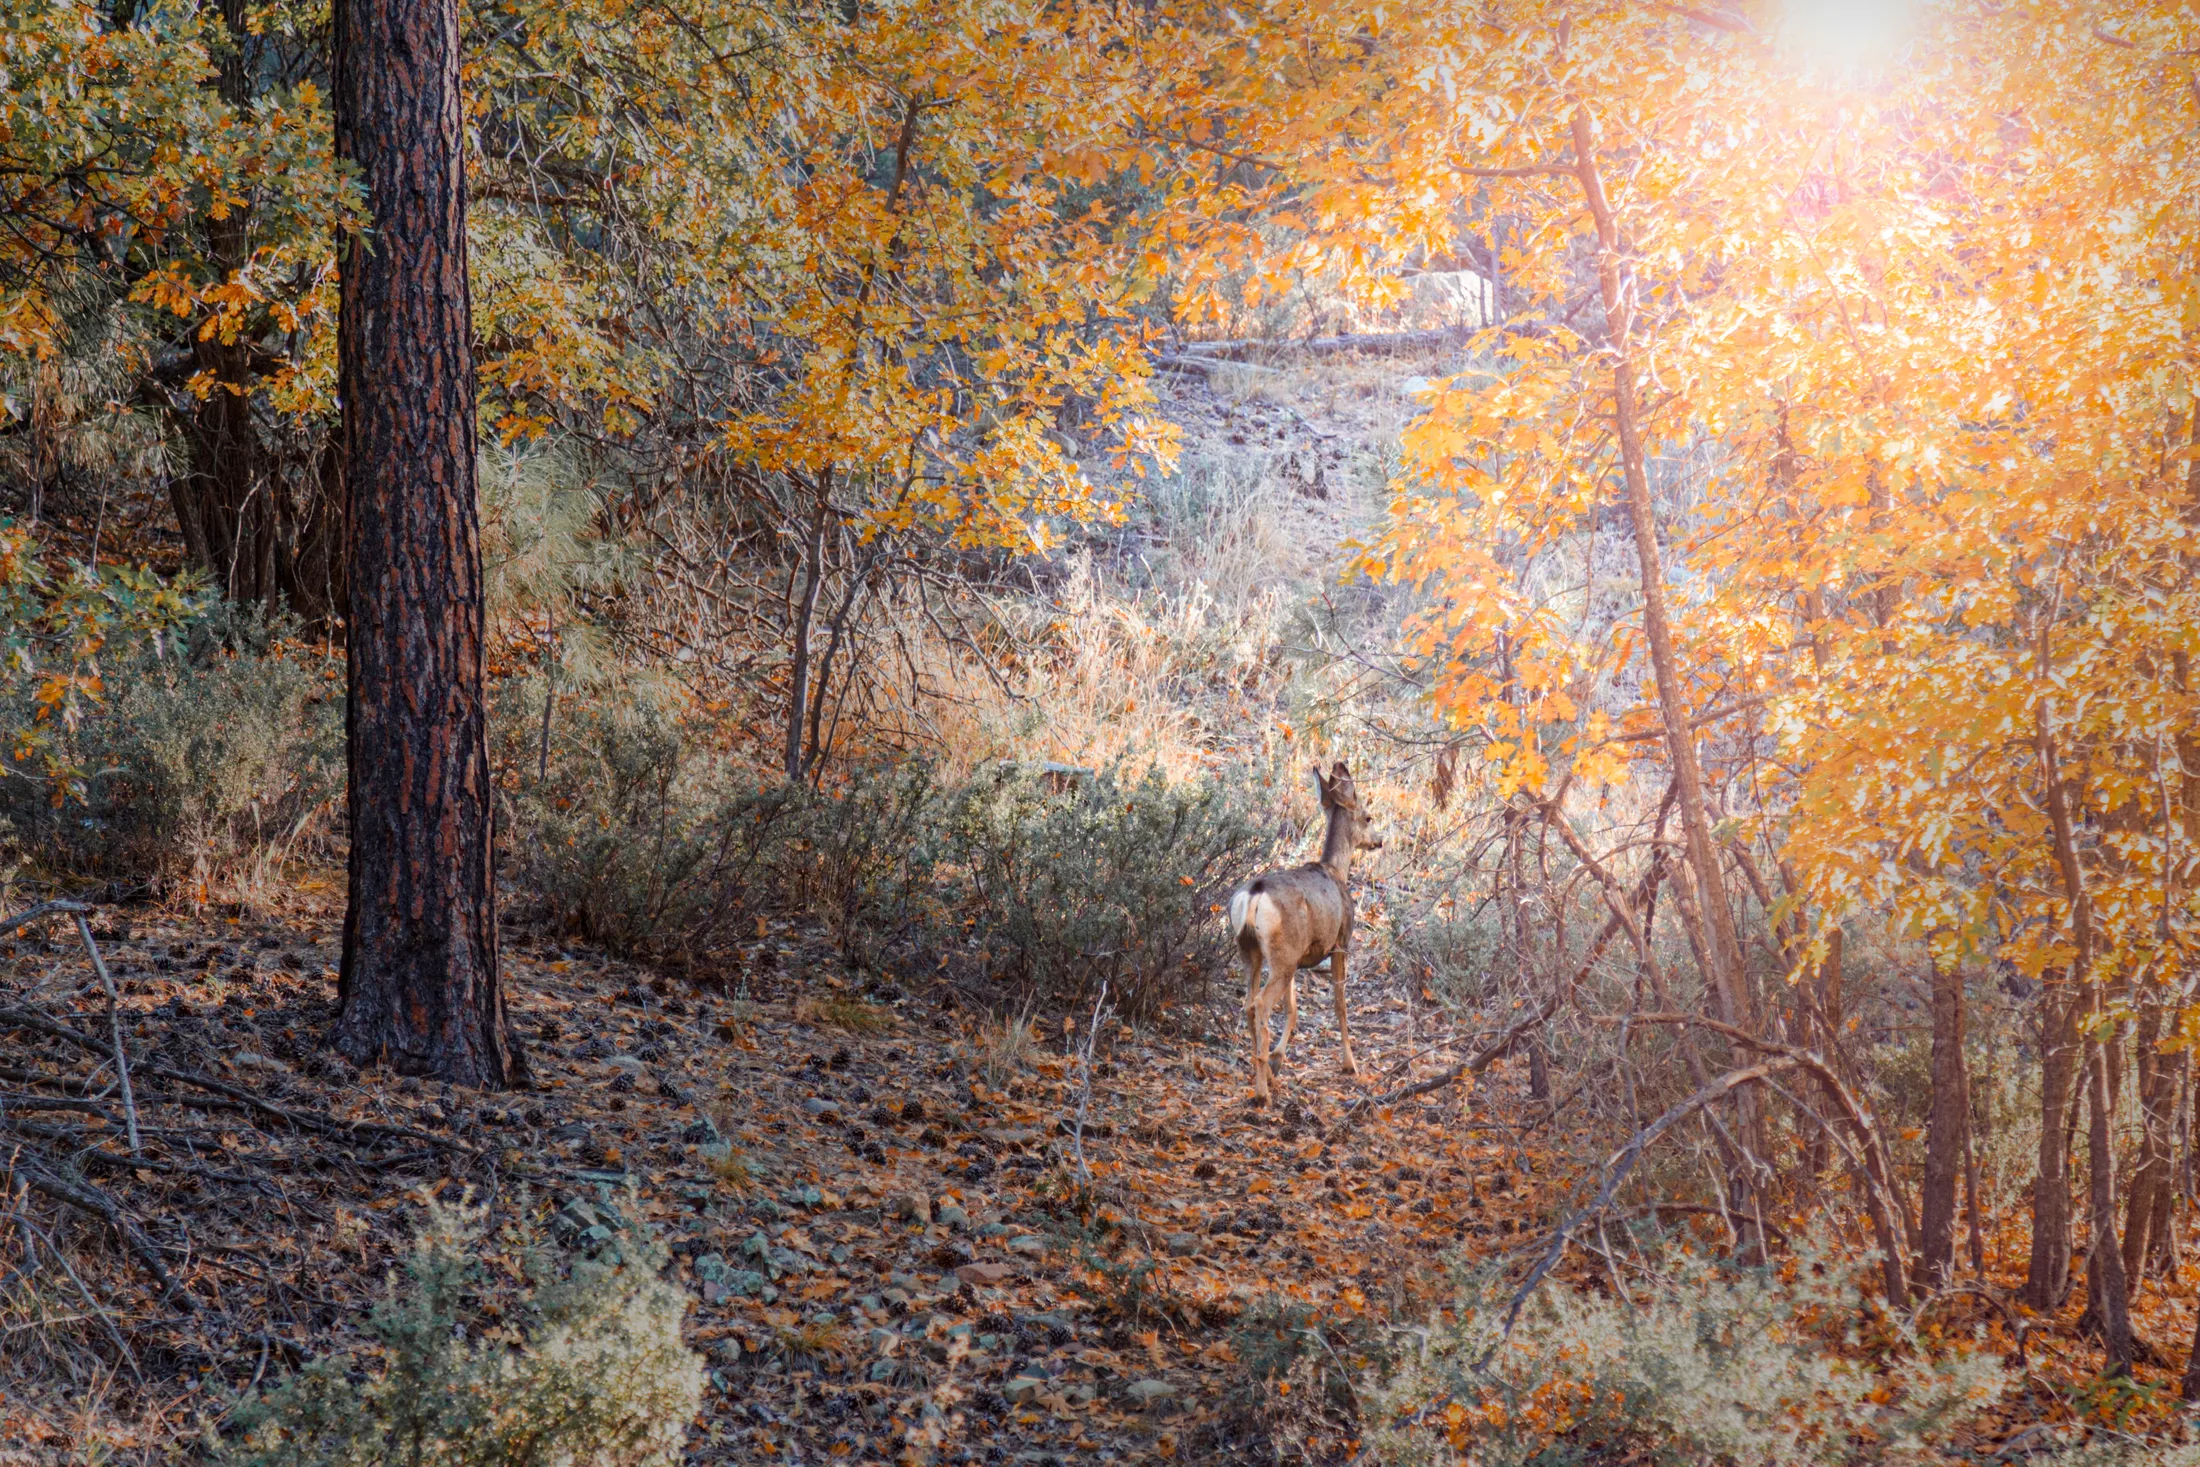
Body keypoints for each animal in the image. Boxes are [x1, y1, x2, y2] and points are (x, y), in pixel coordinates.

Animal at [1227, 761, 1382, 1104]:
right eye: (1368, 816)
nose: (1379, 841)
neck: (1337, 870)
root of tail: (1255, 894)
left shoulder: (1298, 959)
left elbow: (1293, 1009)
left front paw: (1278, 1059)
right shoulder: (1341, 941)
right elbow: (1339, 1004)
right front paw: (1350, 1063)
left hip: (1256, 952)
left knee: (1249, 1004)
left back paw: (1262, 1072)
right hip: (1281, 954)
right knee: (1260, 1004)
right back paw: (1262, 1094)